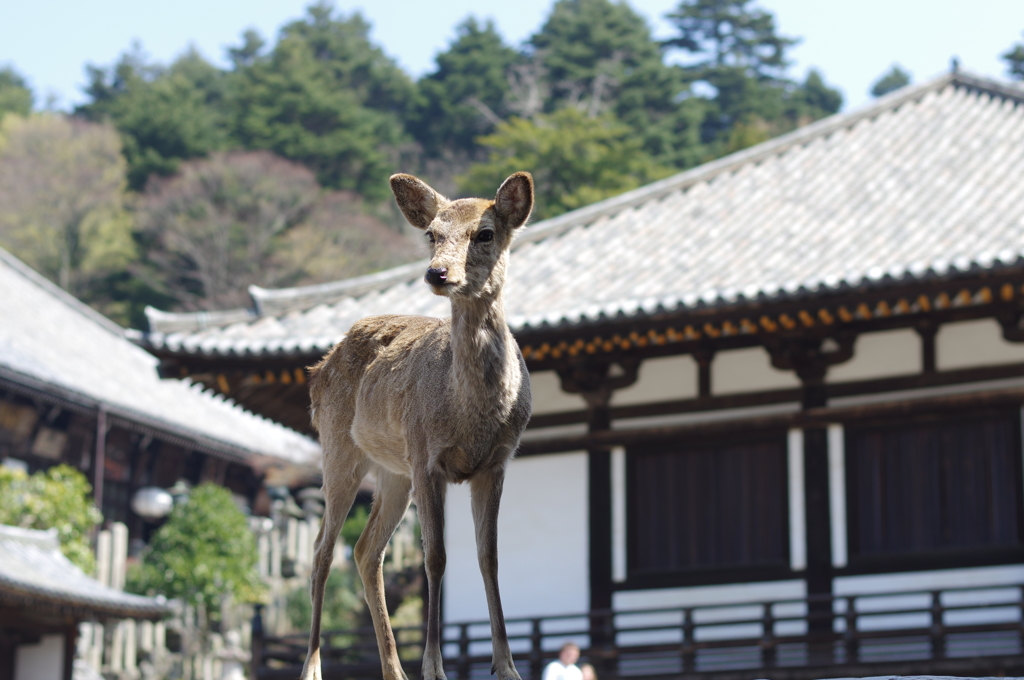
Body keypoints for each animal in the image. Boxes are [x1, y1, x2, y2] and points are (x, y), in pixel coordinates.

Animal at [299, 171, 536, 680]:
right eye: (431, 234)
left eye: (485, 233)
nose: (437, 273)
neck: (471, 415)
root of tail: (319, 368)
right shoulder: (428, 457)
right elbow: (436, 557)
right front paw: (434, 667)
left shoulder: (497, 463)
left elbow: (489, 557)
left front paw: (506, 666)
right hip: (340, 449)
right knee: (323, 549)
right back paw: (313, 666)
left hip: (394, 471)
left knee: (366, 550)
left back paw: (394, 670)